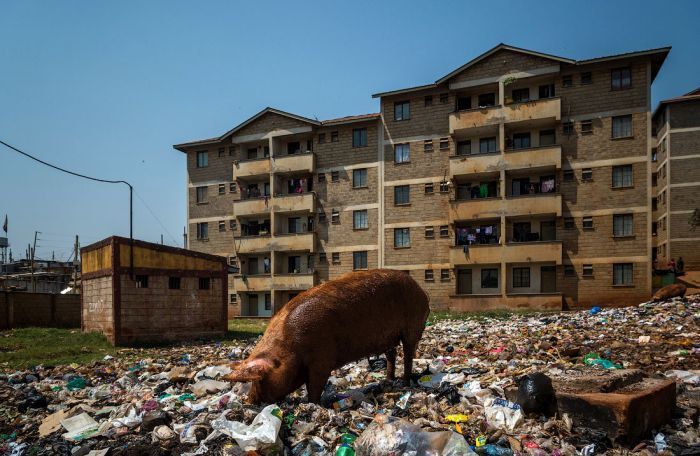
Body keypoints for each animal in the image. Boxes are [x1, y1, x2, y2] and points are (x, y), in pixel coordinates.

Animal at [227, 268, 430, 404]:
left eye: (260, 379)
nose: (249, 401)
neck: (290, 345)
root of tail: (422, 292)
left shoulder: (321, 359)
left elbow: (315, 385)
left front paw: (311, 404)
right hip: (389, 338)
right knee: (392, 355)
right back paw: (388, 380)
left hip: (412, 327)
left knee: (408, 355)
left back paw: (404, 383)